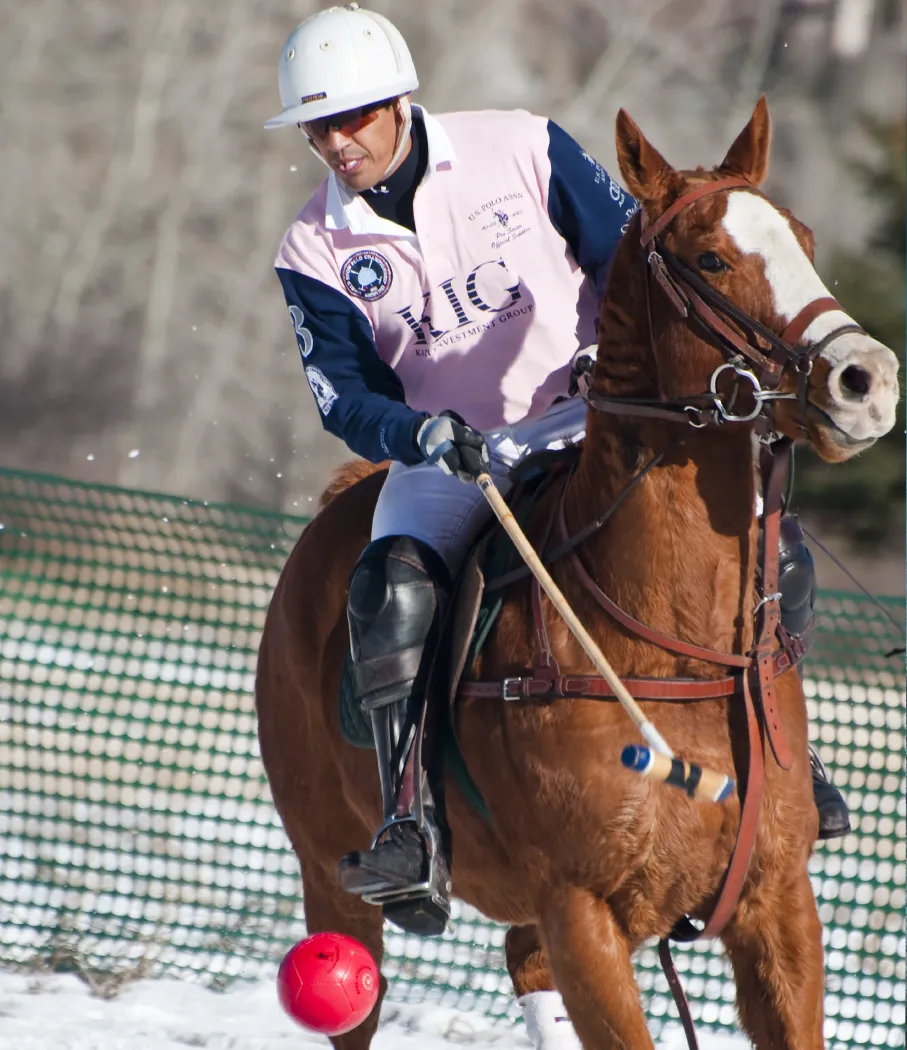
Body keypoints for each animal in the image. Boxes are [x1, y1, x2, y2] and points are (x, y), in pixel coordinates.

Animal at [255, 100, 898, 1050]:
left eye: (805, 237)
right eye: (710, 257)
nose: (866, 381)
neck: (673, 649)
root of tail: (343, 497)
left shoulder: (776, 903)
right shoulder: (584, 913)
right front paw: (444, 437)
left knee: (519, 960)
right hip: (329, 873)